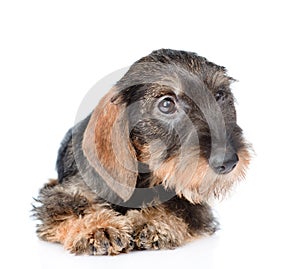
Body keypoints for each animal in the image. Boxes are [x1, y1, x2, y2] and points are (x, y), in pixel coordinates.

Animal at [33, 49, 251, 254]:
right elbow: (70, 206)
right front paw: (100, 227)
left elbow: (179, 206)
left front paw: (153, 221)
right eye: (166, 104)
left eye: (219, 95)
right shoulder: (63, 191)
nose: (228, 162)